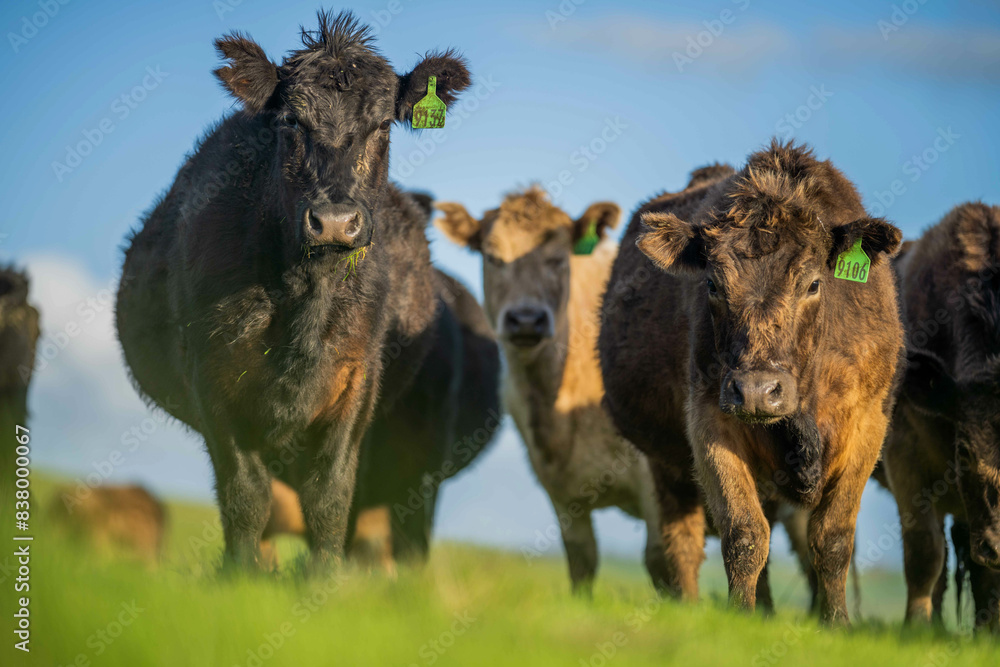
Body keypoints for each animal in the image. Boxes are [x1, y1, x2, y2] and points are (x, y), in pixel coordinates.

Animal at [115, 11, 474, 573]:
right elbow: (245, 494)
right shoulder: (212, 380)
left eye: (382, 126)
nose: (335, 221)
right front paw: (240, 577)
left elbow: (330, 496)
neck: (307, 301)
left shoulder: (357, 381)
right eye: (290, 122)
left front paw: (325, 580)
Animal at [435, 187, 670, 594]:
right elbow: (582, 562)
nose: (526, 319)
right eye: (492, 257)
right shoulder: (561, 494)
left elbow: (663, 562)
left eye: (559, 258)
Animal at [599, 141, 904, 624]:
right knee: (681, 545)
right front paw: (739, 619)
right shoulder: (710, 420)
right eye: (712, 284)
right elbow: (744, 534)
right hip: (665, 466)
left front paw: (836, 623)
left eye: (813, 283)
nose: (758, 391)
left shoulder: (867, 425)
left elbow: (833, 537)